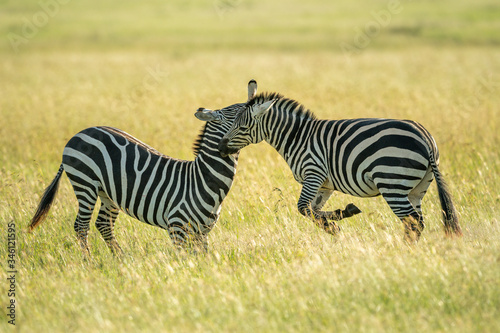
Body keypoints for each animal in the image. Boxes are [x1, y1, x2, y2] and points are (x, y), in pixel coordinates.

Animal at [27, 81, 256, 253]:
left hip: (107, 192)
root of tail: (79, 133)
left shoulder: (203, 231)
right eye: (242, 112)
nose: (254, 92)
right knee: (81, 226)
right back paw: (88, 262)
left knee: (103, 224)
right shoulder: (177, 227)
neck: (203, 178)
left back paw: (119, 260)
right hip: (85, 183)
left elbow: (203, 259)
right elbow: (184, 260)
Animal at [217, 83, 462, 239]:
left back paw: (403, 253)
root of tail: (425, 137)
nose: (220, 148)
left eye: (243, 127)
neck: (297, 136)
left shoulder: (313, 172)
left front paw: (333, 227)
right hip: (418, 187)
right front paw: (341, 217)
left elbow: (303, 208)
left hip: (392, 182)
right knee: (416, 222)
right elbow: (313, 210)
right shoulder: (324, 184)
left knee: (413, 221)